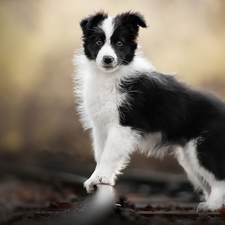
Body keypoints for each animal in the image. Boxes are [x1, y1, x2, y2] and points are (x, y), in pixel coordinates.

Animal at [73, 10, 225, 211]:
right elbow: (101, 153)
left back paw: (211, 206)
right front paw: (100, 181)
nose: (107, 59)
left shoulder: (124, 125)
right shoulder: (100, 126)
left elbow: (108, 154)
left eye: (119, 43)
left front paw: (98, 178)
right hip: (189, 156)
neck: (109, 76)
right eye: (98, 42)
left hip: (205, 147)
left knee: (219, 177)